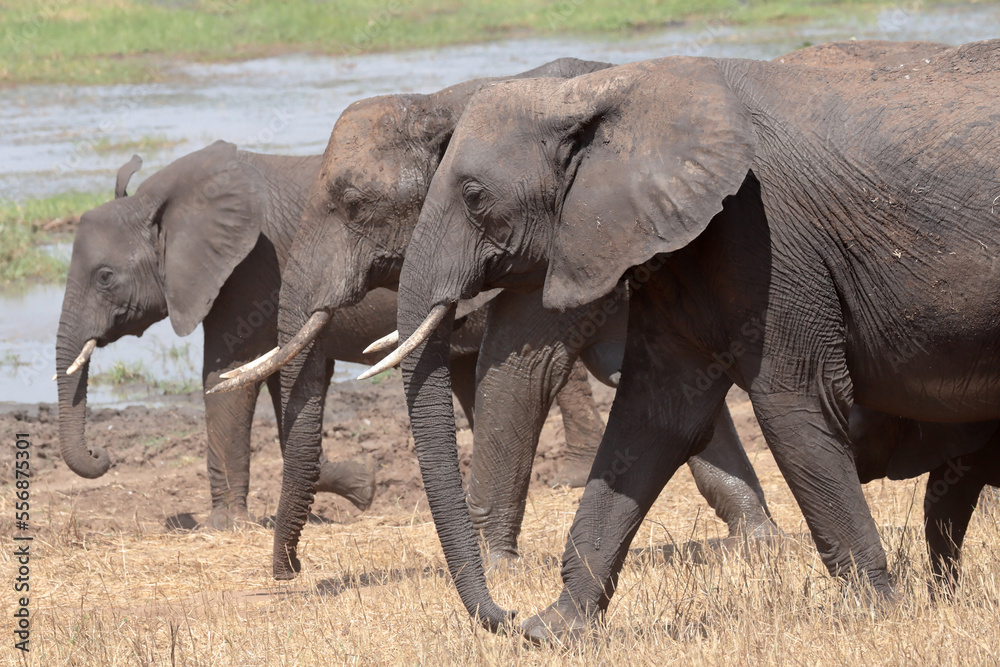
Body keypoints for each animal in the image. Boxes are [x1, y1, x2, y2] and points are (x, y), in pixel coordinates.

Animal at [211, 57, 780, 580]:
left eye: (353, 203)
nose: (290, 571)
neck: (438, 102)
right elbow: (638, 373)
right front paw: (753, 542)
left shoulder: (562, 237)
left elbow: (520, 369)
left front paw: (492, 566)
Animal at [387, 39, 1000, 637]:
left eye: (473, 195)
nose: (505, 615)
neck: (607, 88)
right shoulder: (673, 241)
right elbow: (654, 416)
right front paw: (555, 629)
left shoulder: (768, 236)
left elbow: (795, 404)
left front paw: (876, 614)